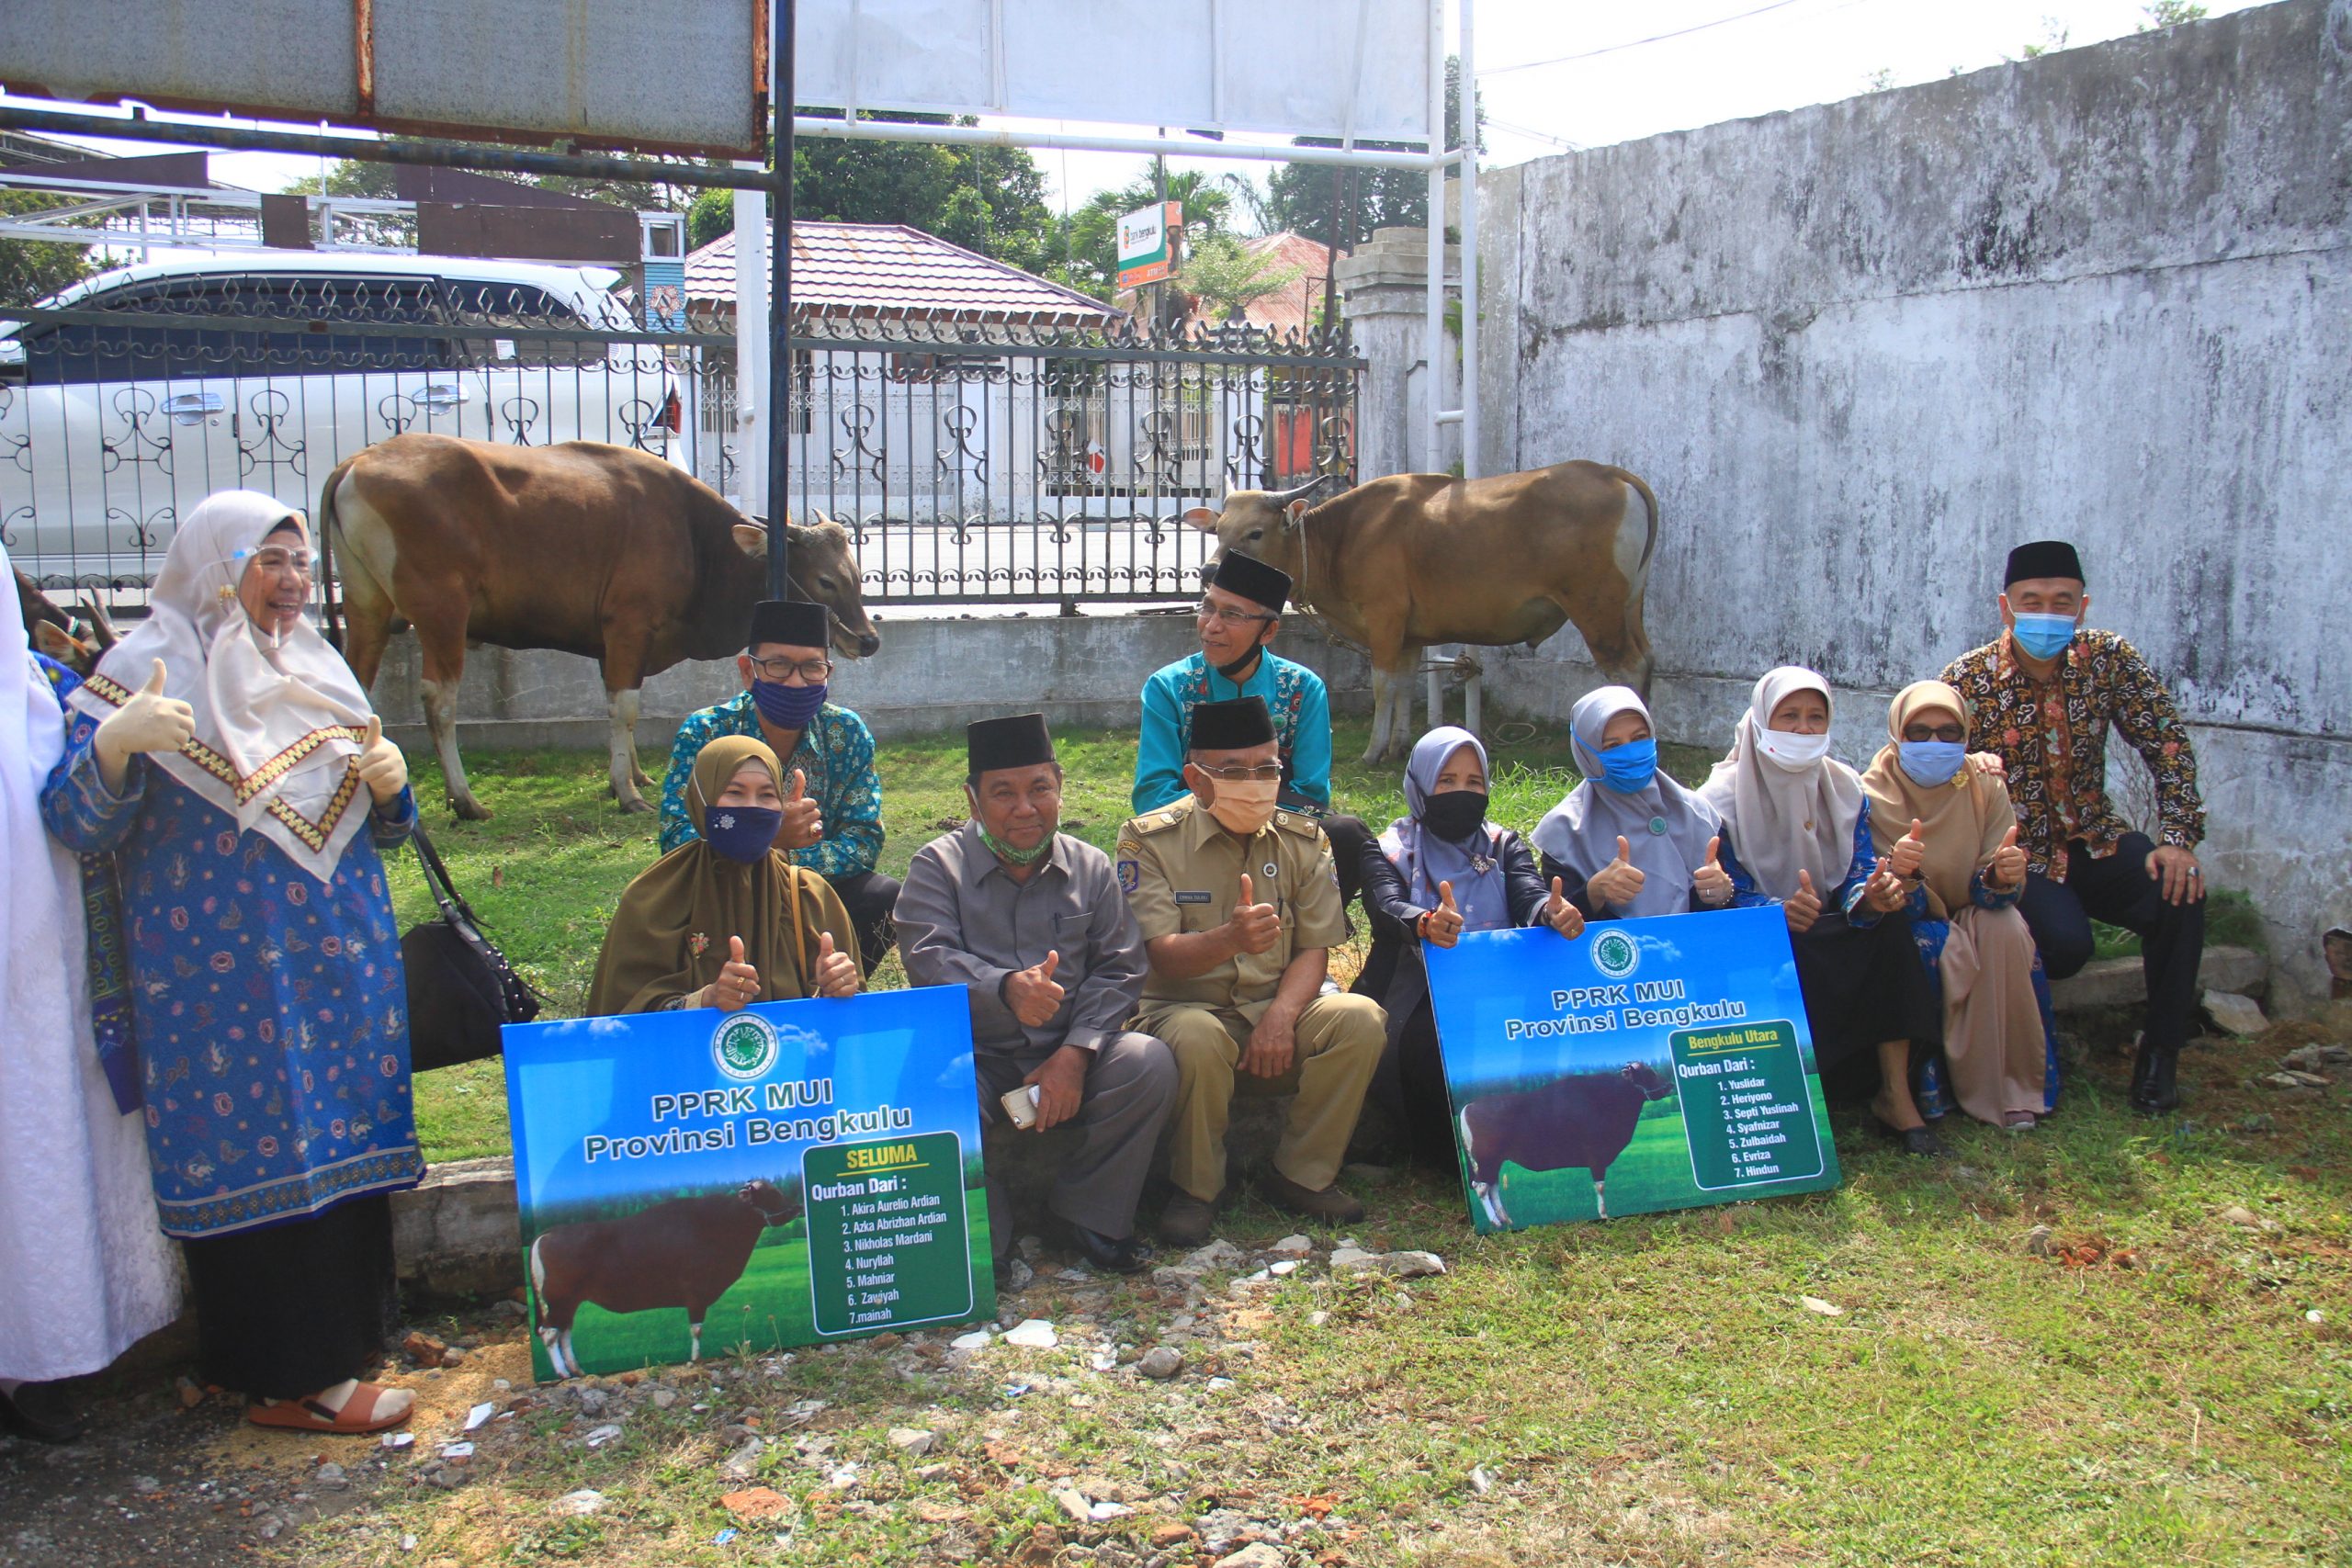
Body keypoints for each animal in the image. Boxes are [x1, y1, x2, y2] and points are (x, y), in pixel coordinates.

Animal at [322, 430, 884, 822]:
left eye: (858, 574)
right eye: (827, 581)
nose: (868, 640)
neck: (694, 539)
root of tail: (355, 463)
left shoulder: (610, 643)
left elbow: (620, 704)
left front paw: (632, 776)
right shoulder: (628, 626)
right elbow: (624, 707)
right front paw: (627, 791)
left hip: (367, 607)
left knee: (355, 689)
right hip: (442, 613)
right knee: (440, 702)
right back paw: (464, 799)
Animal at [1194, 463, 1656, 761]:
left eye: (1255, 533)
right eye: (1218, 529)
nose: (1210, 571)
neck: (1344, 536)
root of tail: (1615, 476)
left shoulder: (1384, 620)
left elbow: (1383, 686)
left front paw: (1373, 750)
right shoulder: (1409, 635)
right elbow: (1404, 685)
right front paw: (1399, 745)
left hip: (1596, 609)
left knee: (1627, 667)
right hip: (1631, 605)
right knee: (1648, 660)